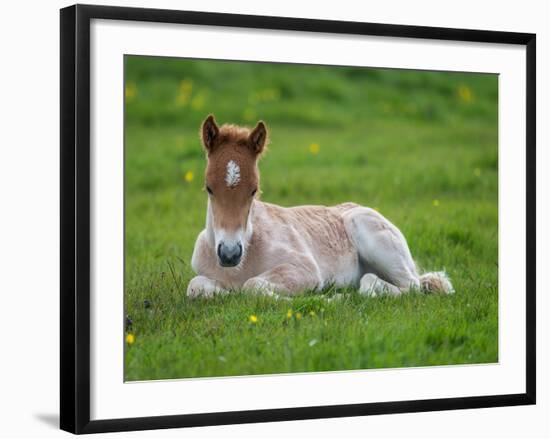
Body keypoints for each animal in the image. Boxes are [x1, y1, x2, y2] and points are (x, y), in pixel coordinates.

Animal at [188, 114, 454, 300]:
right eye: (209, 188)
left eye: (254, 190)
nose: (229, 254)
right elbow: (196, 288)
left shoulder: (305, 269)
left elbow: (252, 286)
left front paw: (324, 299)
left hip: (372, 235)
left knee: (410, 286)